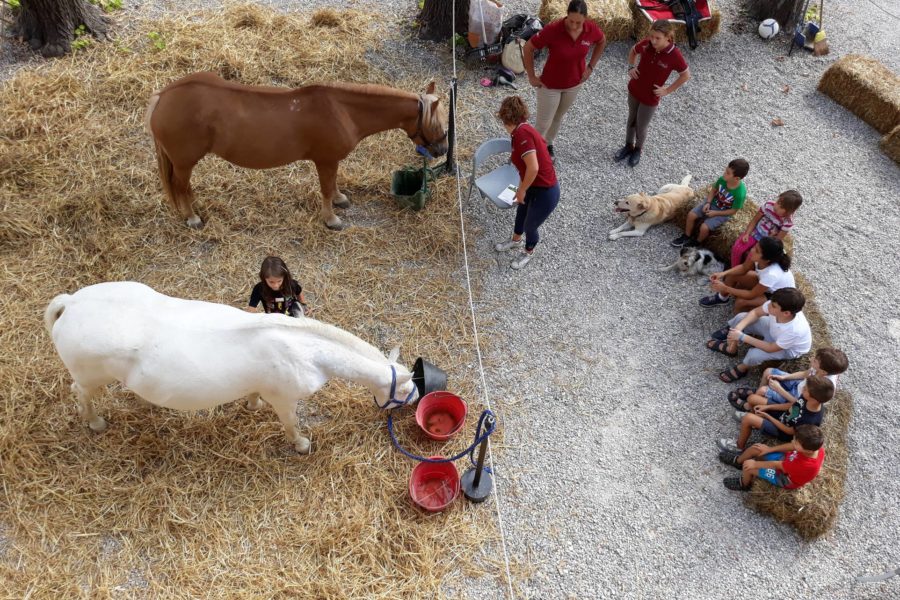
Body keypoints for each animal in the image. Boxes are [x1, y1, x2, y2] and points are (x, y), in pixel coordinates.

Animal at [44, 284, 418, 452]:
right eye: (405, 388)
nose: (415, 399)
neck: (304, 348)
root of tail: (71, 303)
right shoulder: (285, 399)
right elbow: (292, 423)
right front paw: (301, 445)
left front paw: (251, 406)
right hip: (91, 376)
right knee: (81, 393)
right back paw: (94, 422)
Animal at [144, 71, 450, 230]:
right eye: (440, 125)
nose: (442, 150)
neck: (343, 110)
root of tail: (163, 97)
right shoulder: (325, 160)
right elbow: (325, 189)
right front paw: (331, 219)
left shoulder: (330, 161)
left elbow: (333, 185)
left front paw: (340, 199)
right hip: (184, 161)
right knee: (179, 186)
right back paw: (192, 217)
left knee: (183, 186)